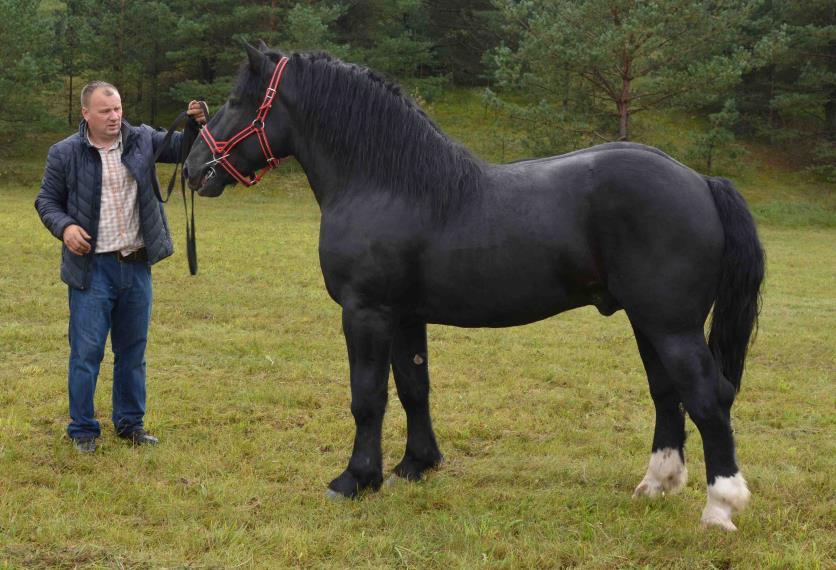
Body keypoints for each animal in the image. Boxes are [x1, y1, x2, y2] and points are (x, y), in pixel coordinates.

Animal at [185, 43, 764, 528]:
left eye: (237, 100)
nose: (193, 168)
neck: (386, 183)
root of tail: (701, 181)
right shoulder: (406, 315)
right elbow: (413, 387)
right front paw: (415, 465)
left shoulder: (366, 311)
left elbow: (367, 395)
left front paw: (355, 479)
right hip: (647, 322)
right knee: (668, 394)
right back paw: (657, 484)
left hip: (671, 326)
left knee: (707, 397)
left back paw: (720, 508)